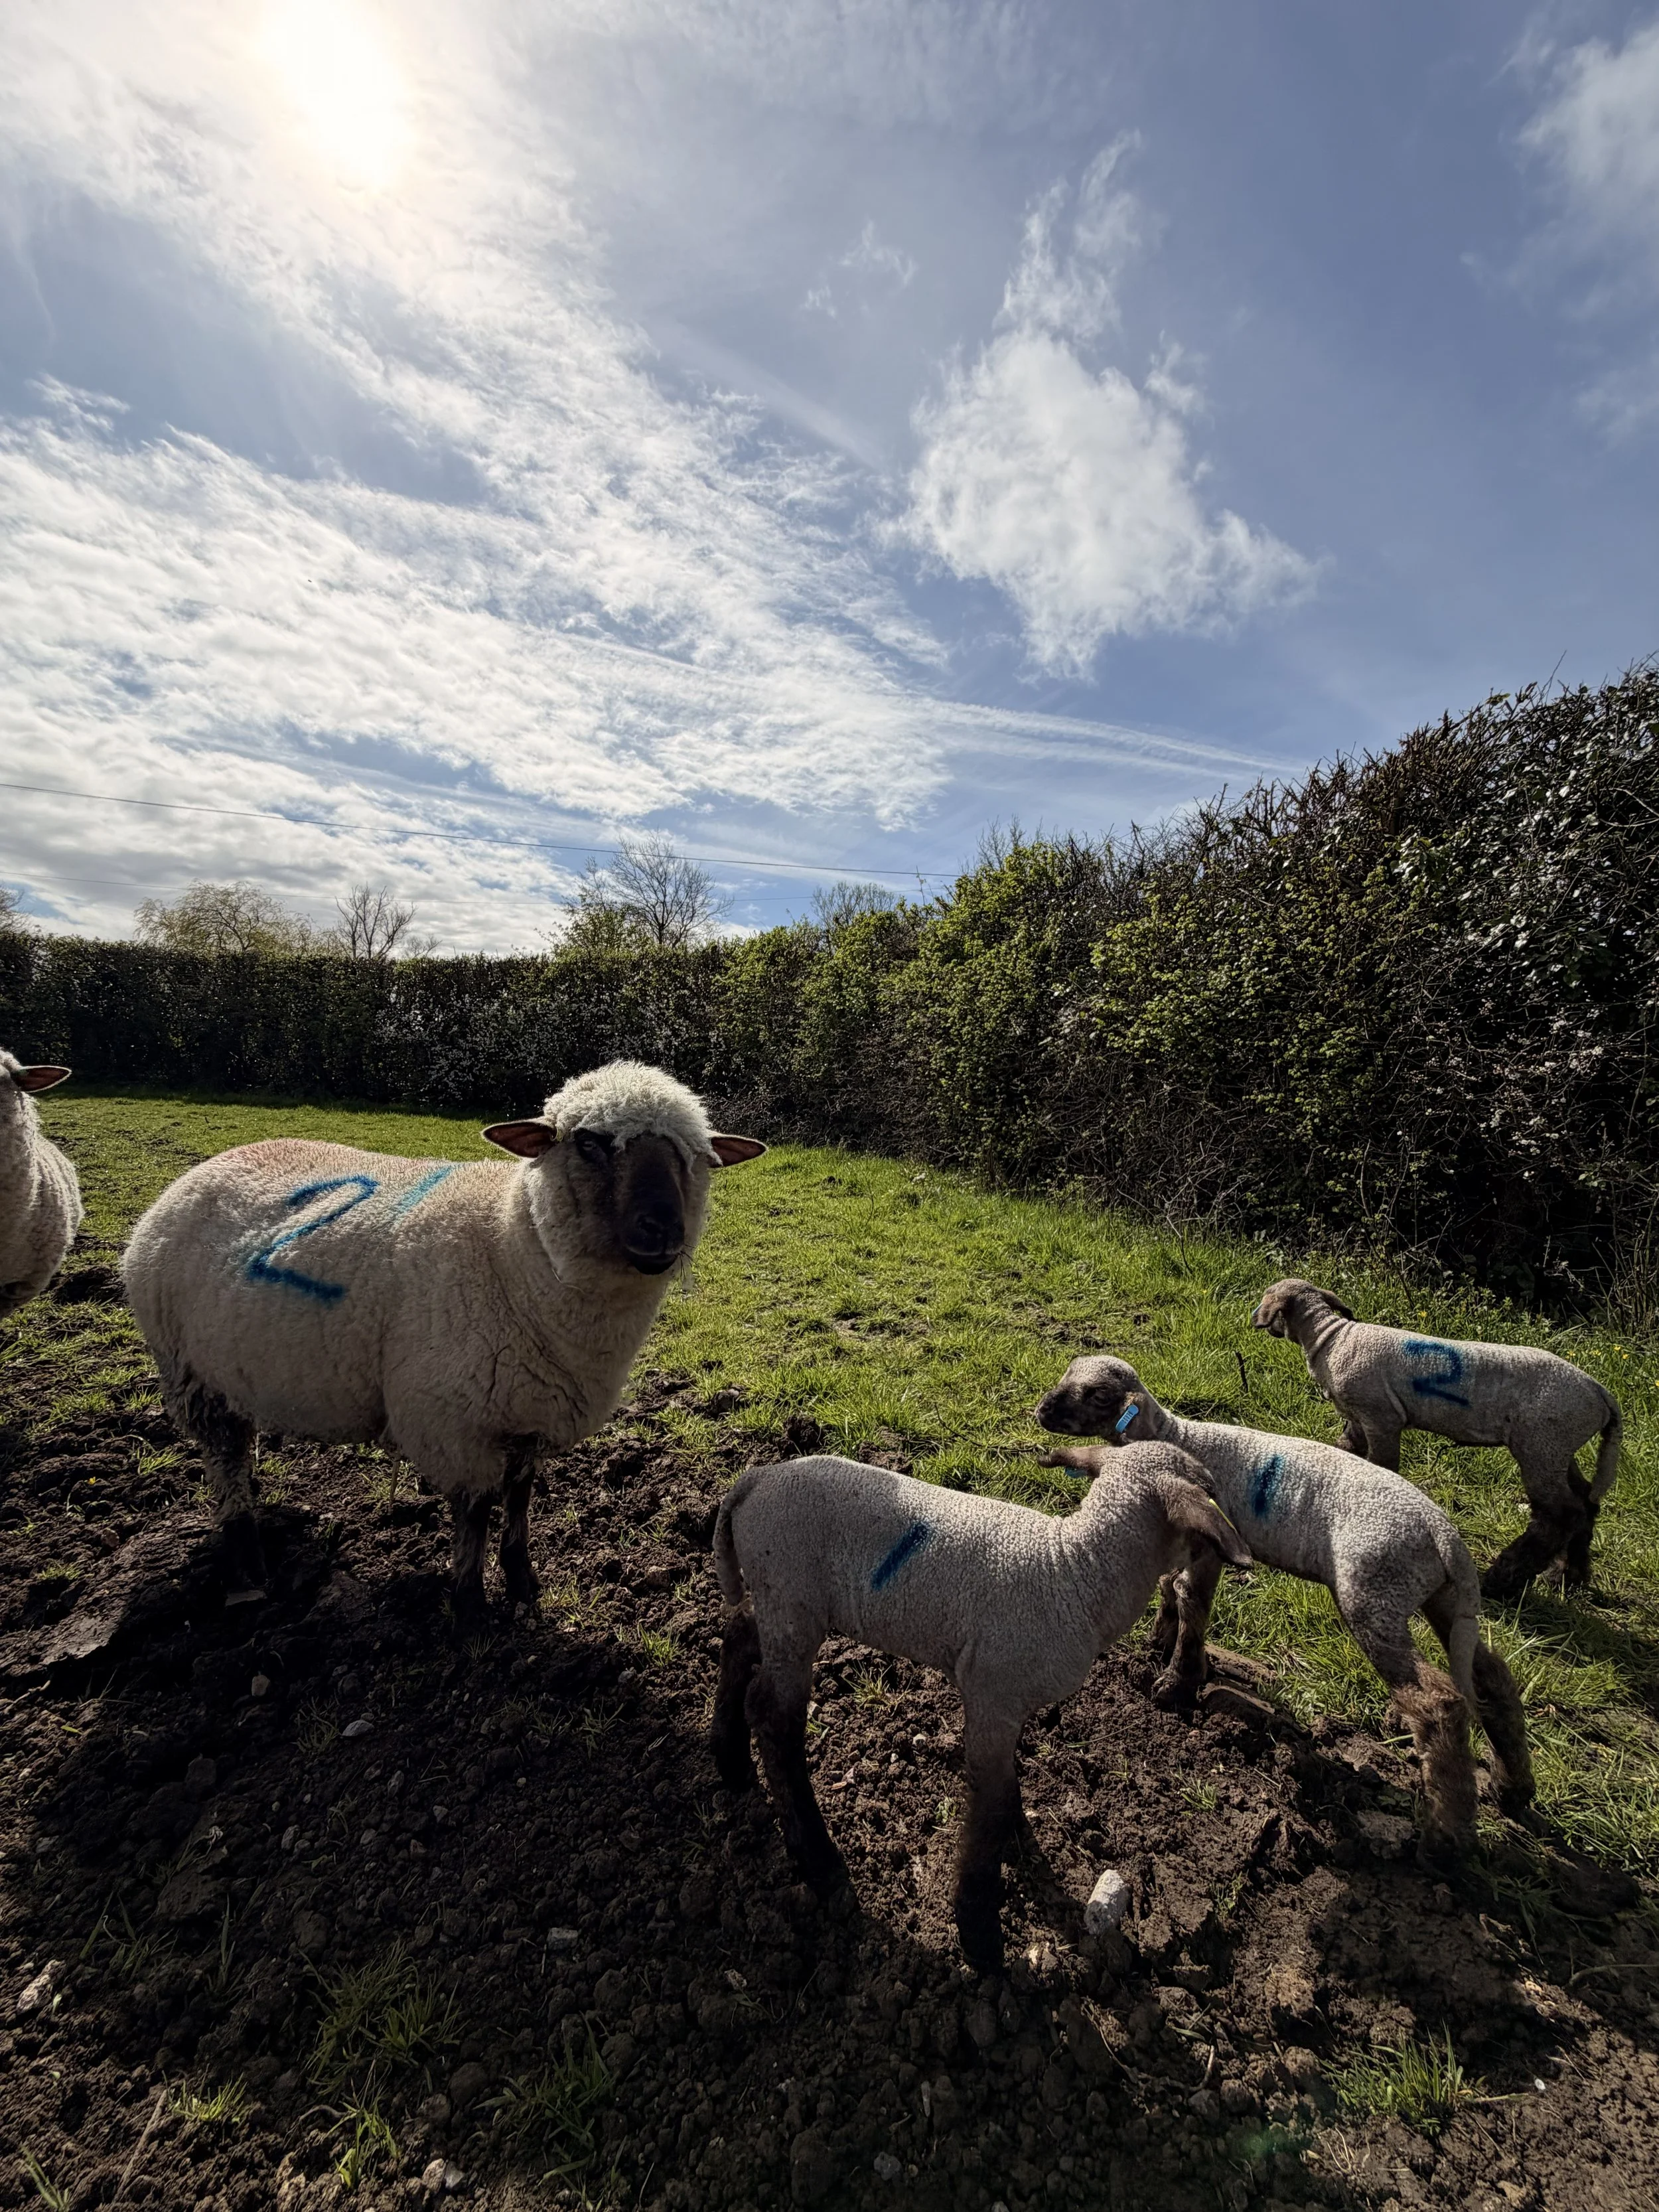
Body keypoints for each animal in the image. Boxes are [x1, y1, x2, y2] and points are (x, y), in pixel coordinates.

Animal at [122, 1060, 765, 1611]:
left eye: (699, 1157)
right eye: (588, 1143)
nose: (664, 1229)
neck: (513, 1252)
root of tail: (199, 1171)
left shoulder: (528, 1413)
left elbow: (520, 1499)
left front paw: (522, 1580)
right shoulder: (455, 1424)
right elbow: (475, 1514)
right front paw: (470, 1604)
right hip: (187, 1370)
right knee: (224, 1458)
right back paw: (248, 1565)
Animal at [709, 1442, 1251, 1970]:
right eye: (1208, 1489)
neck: (1075, 1572)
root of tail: (753, 1481)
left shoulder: (1006, 1702)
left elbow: (1006, 1783)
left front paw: (1014, 1837)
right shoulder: (993, 1693)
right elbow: (987, 1807)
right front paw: (980, 1930)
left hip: (779, 1604)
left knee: (738, 1636)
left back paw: (730, 1762)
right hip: (793, 1600)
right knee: (774, 1719)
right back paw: (820, 1861)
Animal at [1036, 1356, 1534, 1853]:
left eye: (1098, 1394)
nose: (1041, 1411)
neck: (1180, 1437)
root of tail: (1446, 1537)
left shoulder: (1210, 1546)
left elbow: (1192, 1600)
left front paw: (1176, 1682)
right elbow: (1169, 1587)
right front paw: (1160, 1643)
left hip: (1374, 1595)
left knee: (1437, 1701)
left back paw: (1445, 1836)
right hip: (1440, 1599)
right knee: (1492, 1677)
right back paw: (1512, 1788)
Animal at [1251, 1278, 1622, 1600]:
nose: (1253, 1316)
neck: (1330, 1339)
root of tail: (1602, 1394)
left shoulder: (1381, 1417)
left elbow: (1384, 1465)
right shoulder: (1358, 1419)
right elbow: (1348, 1451)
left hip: (1541, 1443)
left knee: (1559, 1514)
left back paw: (1503, 1579)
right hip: (1558, 1448)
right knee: (1586, 1501)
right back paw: (1568, 1575)